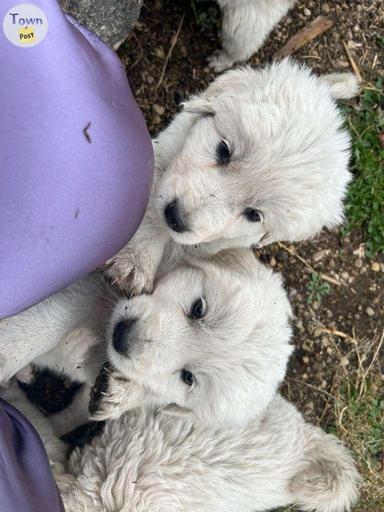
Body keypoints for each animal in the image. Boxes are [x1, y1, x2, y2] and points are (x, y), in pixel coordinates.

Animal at [0, 251, 360, 512]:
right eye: (198, 309)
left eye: (187, 378)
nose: (124, 336)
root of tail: (306, 440)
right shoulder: (94, 288)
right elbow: (50, 320)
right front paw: (10, 351)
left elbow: (77, 413)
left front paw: (116, 395)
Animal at [104, 61, 356, 296]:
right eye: (223, 150)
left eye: (254, 215)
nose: (175, 217)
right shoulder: (163, 150)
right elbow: (151, 213)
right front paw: (135, 261)